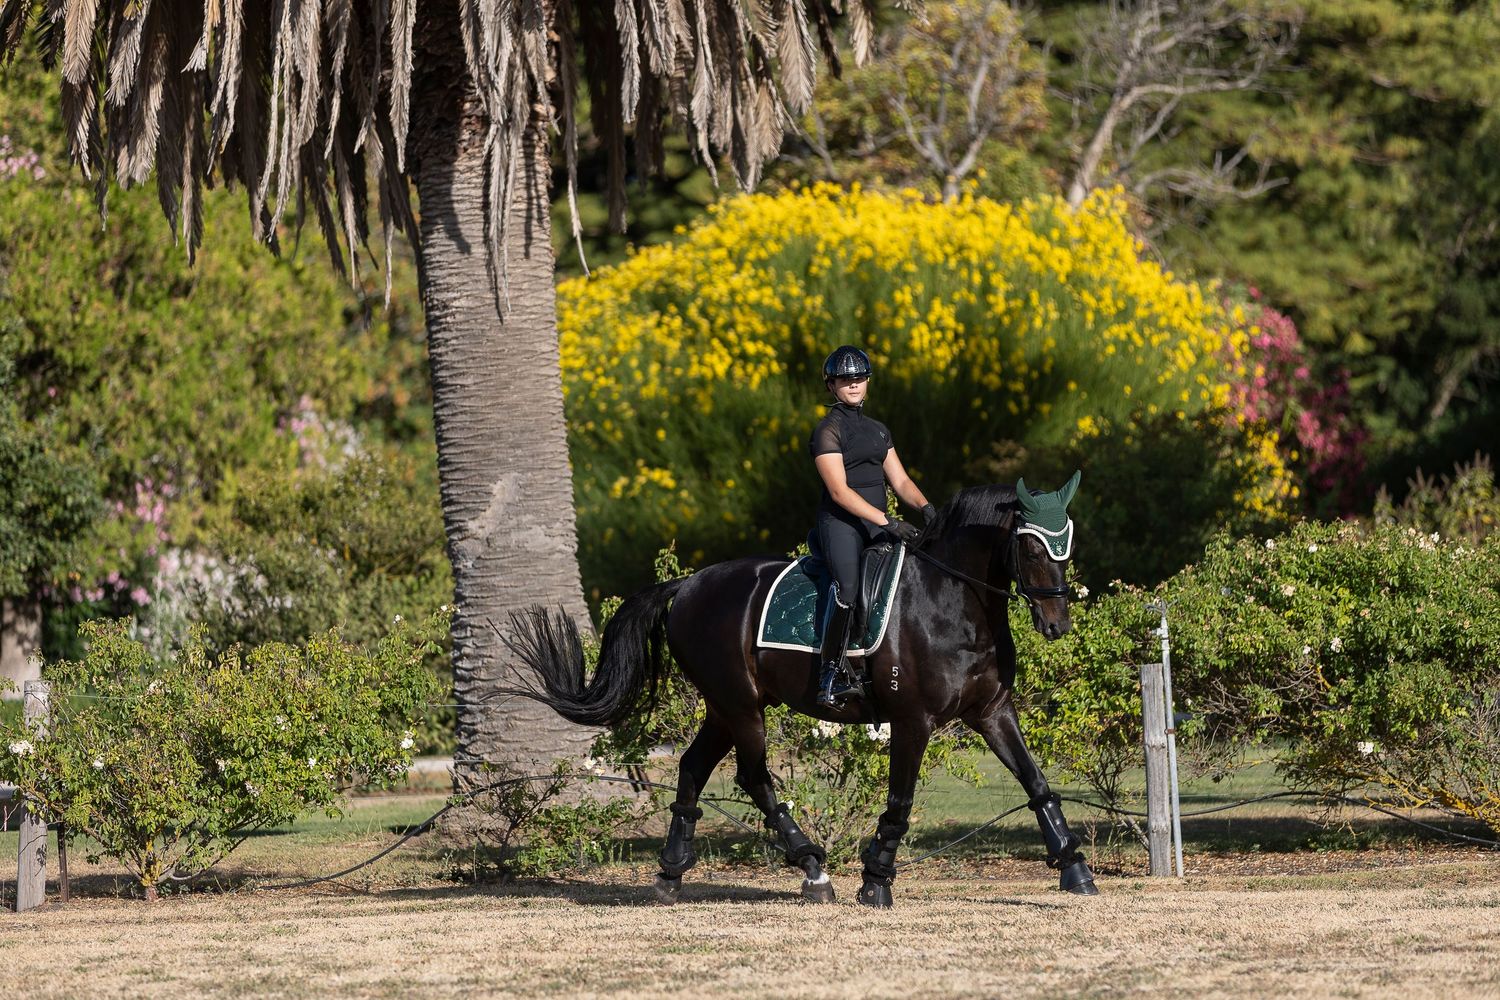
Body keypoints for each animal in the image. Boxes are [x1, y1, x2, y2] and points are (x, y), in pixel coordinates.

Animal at [503, 475, 1099, 907]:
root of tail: (688, 584)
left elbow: (1036, 782)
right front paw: (875, 882)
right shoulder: (913, 720)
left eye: (1067, 546)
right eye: (1030, 548)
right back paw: (813, 870)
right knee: (754, 778)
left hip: (723, 708)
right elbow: (900, 801)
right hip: (741, 706)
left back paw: (671, 873)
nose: (1056, 625)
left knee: (693, 767)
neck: (952, 602)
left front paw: (1075, 869)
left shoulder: (993, 711)